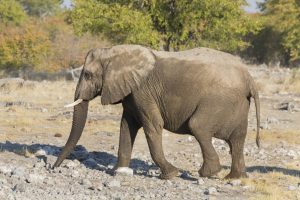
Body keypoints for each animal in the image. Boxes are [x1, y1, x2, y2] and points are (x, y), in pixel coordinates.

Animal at [54, 45, 260, 180]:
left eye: (88, 75)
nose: (53, 167)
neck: (115, 53)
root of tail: (249, 77)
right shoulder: (131, 93)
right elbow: (126, 127)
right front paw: (117, 172)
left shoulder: (142, 91)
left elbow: (153, 125)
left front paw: (171, 174)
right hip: (238, 105)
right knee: (237, 139)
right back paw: (235, 177)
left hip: (218, 100)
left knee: (198, 126)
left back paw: (208, 173)